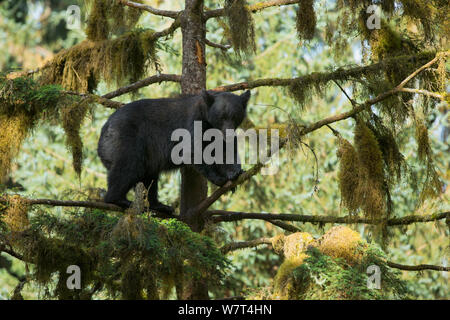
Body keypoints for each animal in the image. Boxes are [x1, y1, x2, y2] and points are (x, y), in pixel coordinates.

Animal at [97, 89, 250, 212]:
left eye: (235, 116)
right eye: (221, 116)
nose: (228, 134)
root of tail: (104, 130)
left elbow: (224, 151)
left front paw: (235, 172)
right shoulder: (194, 123)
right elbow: (193, 151)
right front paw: (220, 179)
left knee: (149, 178)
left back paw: (160, 206)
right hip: (127, 139)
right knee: (128, 168)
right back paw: (120, 200)